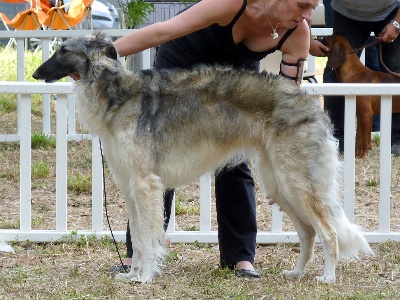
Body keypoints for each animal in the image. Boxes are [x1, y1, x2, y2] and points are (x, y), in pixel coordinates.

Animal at [32, 33, 374, 284]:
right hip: (279, 184)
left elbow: (148, 238)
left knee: (329, 233)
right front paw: (131, 275)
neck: (117, 94)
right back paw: (297, 272)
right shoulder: (130, 188)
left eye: (63, 51)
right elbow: (139, 239)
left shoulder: (146, 186)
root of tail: (310, 104)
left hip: (297, 184)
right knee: (309, 233)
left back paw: (327, 278)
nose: (35, 73)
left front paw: (144, 277)